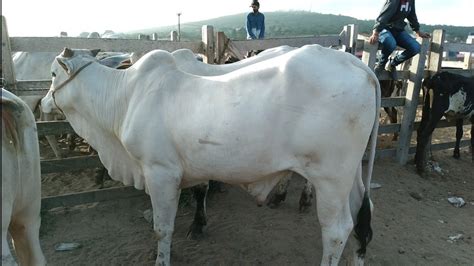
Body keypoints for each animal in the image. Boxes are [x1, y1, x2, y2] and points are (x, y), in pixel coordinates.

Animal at [40, 46, 382, 266]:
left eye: (53, 73)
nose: (43, 103)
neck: (125, 96)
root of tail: (360, 66)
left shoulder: (160, 172)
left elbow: (163, 227)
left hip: (330, 179)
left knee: (337, 231)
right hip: (349, 176)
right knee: (362, 220)